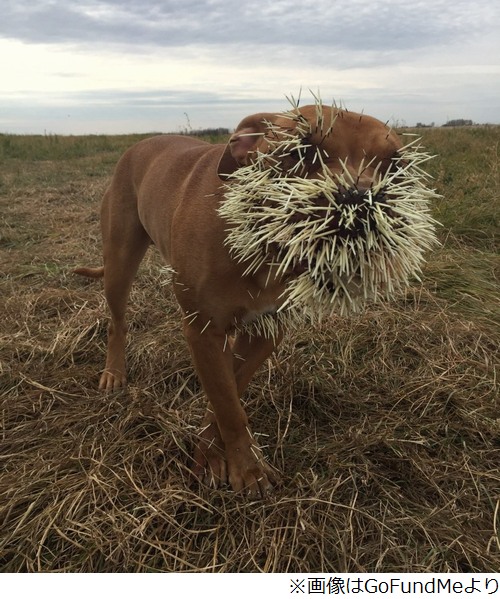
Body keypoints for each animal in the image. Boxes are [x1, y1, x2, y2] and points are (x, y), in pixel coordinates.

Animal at [75, 105, 402, 500]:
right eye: (301, 151)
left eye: (396, 165)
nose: (360, 203)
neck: (262, 245)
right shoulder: (203, 329)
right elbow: (228, 405)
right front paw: (246, 469)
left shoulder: (266, 331)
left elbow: (228, 392)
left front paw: (215, 455)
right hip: (119, 262)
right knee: (117, 321)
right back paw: (114, 372)